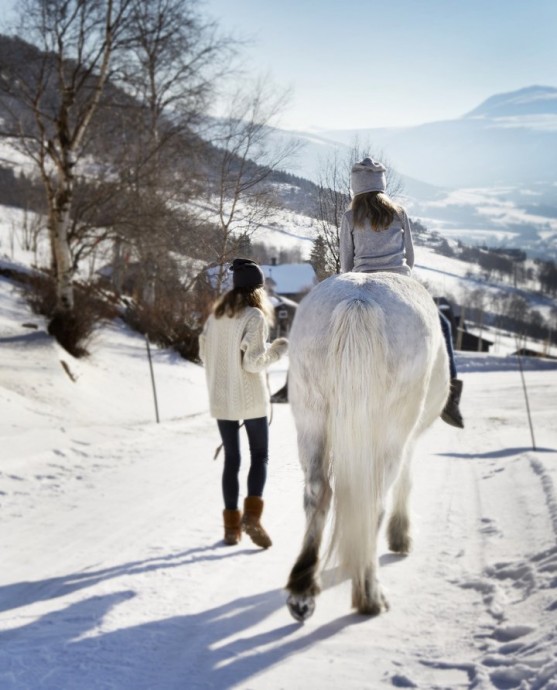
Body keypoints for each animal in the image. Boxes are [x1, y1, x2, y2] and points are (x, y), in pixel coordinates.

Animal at [284, 270, 450, 620]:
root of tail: (358, 300)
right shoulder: (407, 437)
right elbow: (406, 481)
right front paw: (401, 536)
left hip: (310, 417)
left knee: (317, 492)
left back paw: (302, 591)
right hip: (390, 432)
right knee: (373, 500)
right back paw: (370, 593)